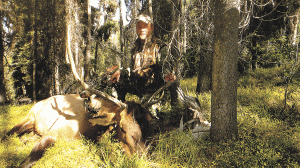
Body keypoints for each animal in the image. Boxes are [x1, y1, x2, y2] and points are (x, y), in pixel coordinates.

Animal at [1, 90, 152, 168]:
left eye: (146, 129)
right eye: (122, 128)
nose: (142, 158)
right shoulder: (52, 134)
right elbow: (28, 160)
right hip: (29, 118)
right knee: (7, 135)